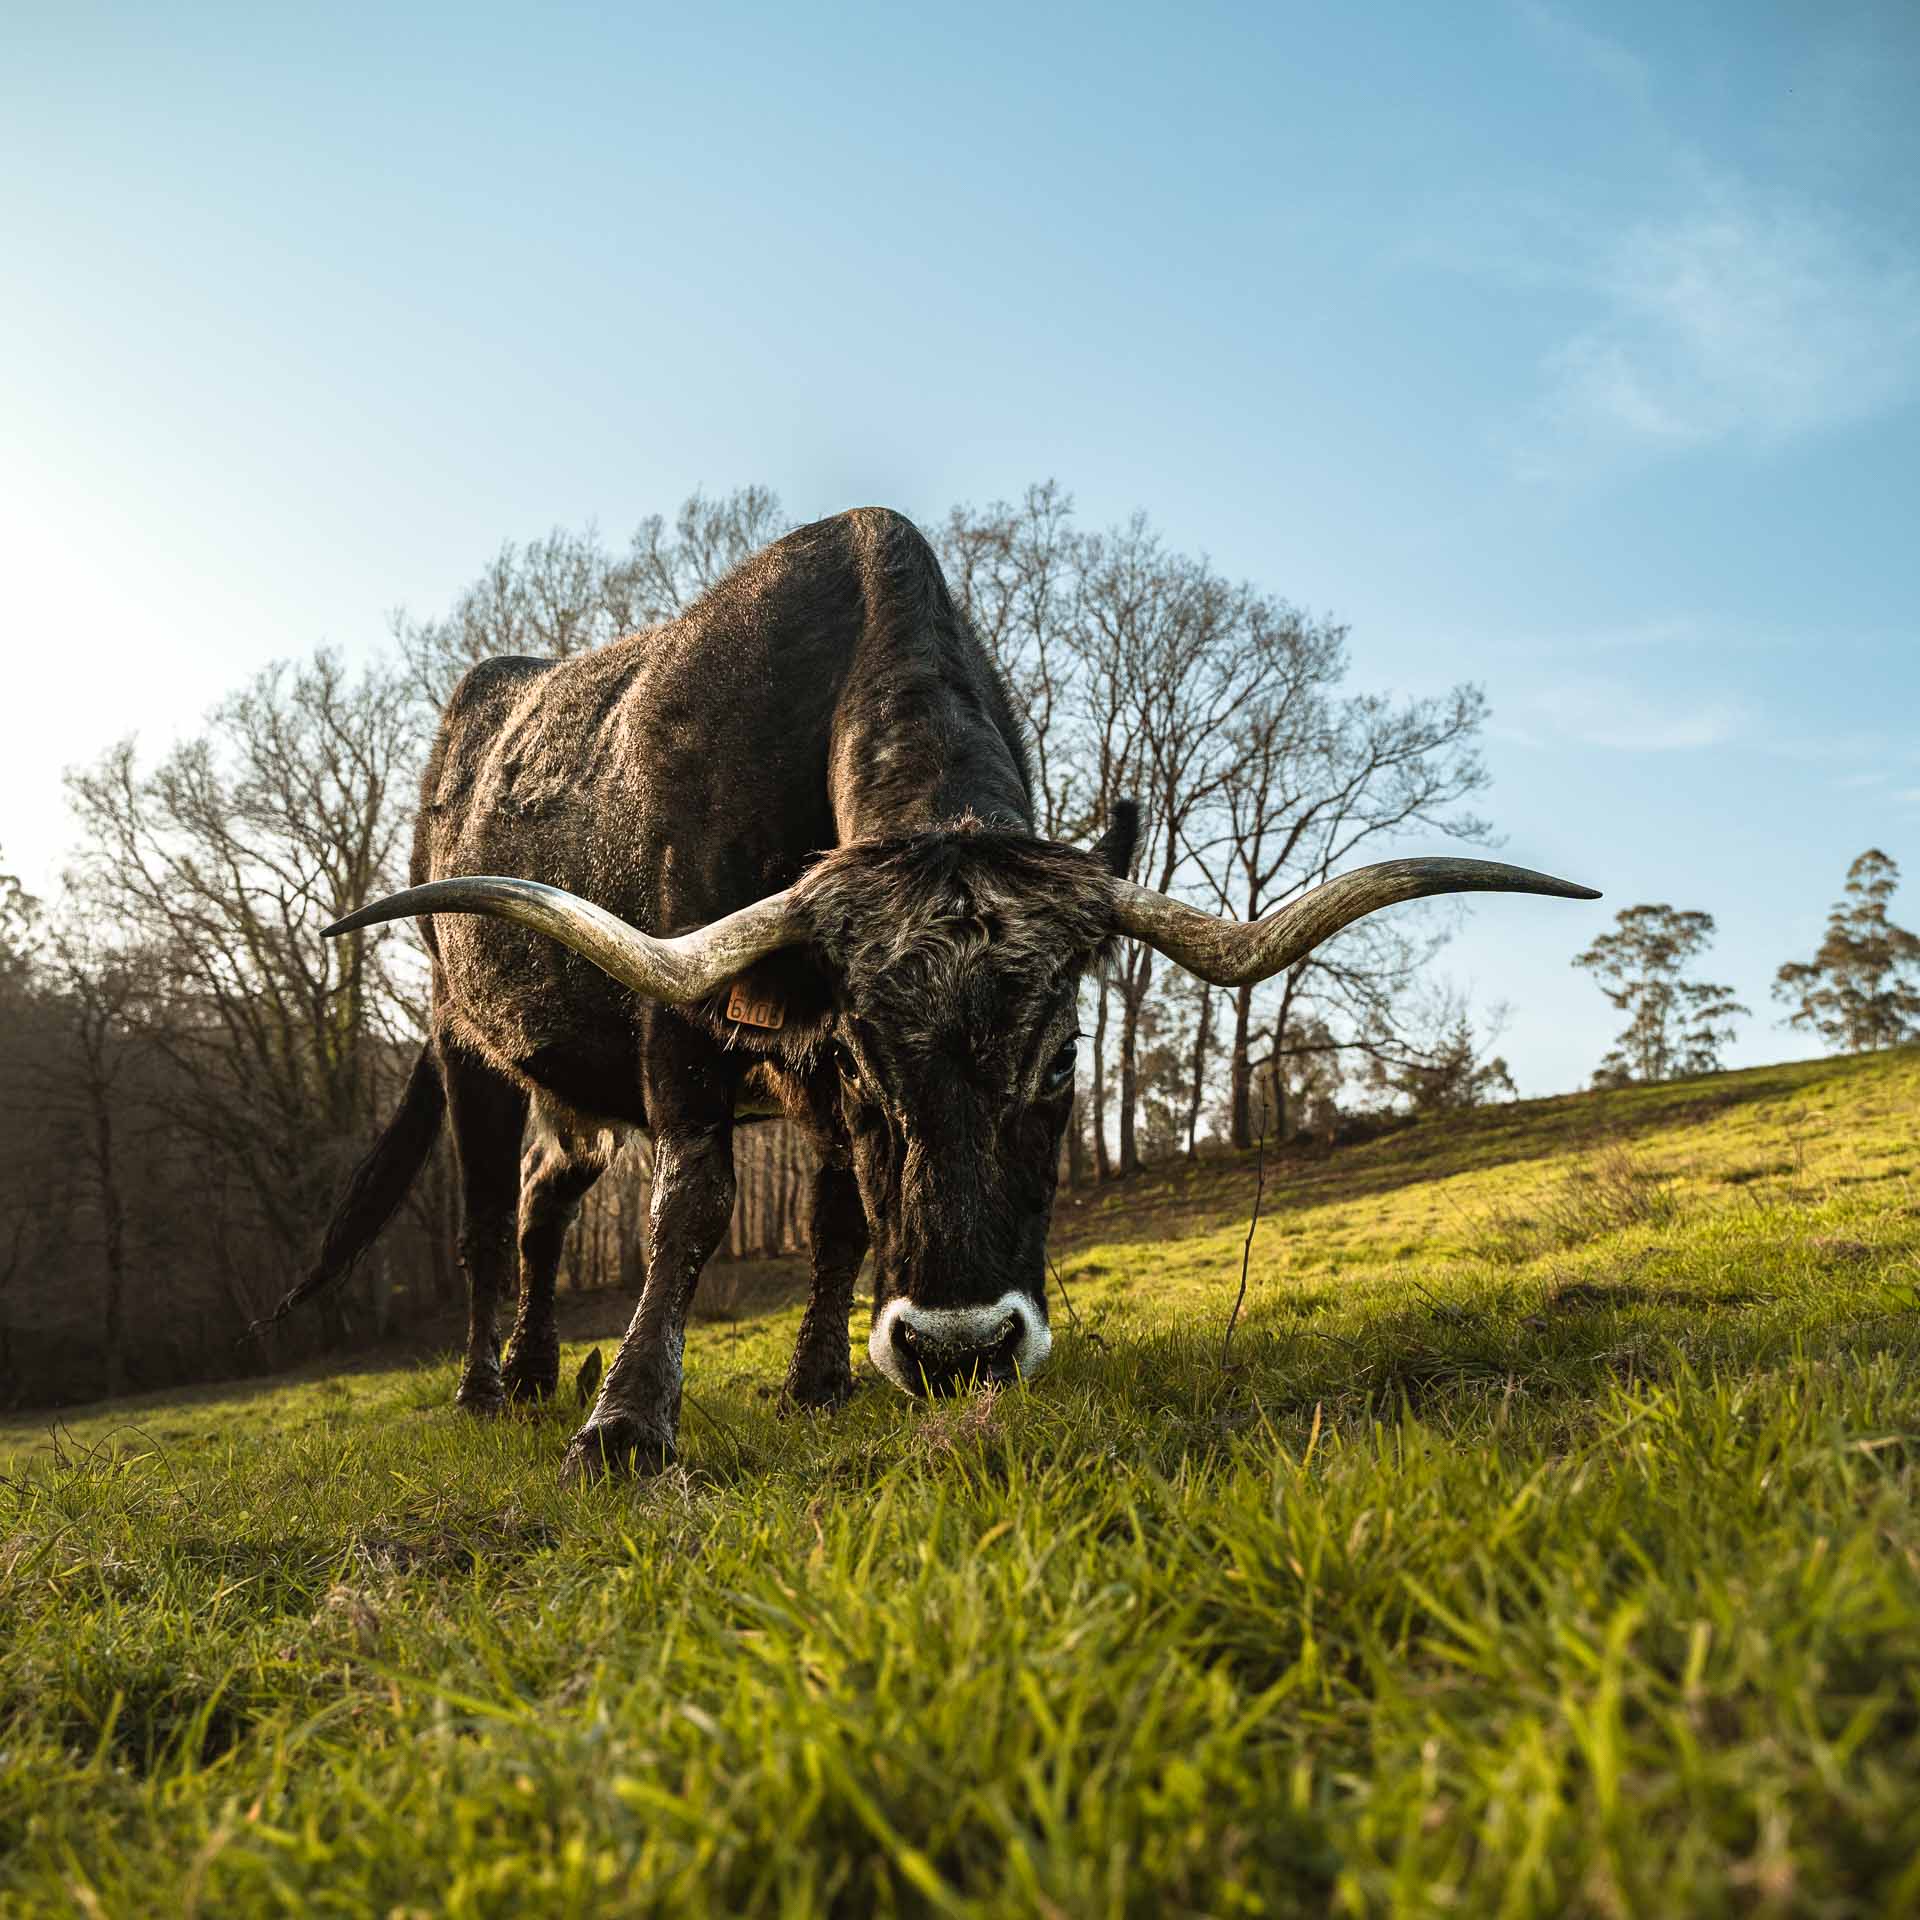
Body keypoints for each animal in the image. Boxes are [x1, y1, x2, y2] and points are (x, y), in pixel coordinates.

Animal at [276, 508, 1596, 1480]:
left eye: (1063, 1059)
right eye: (872, 1056)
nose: (963, 1351)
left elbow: (839, 1214)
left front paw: (815, 1384)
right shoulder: (689, 1022)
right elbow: (692, 1205)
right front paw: (629, 1423)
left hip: (573, 1085)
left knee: (548, 1200)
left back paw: (538, 1367)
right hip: (467, 1042)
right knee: (483, 1221)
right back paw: (486, 1390)